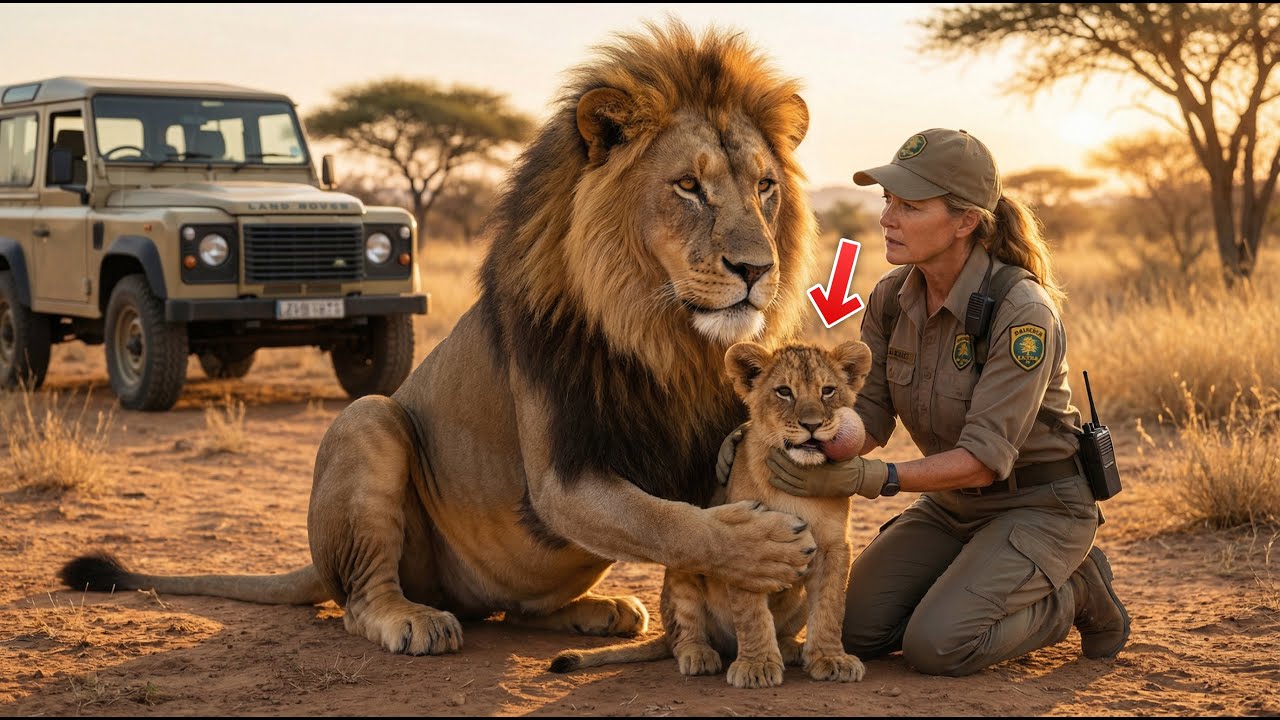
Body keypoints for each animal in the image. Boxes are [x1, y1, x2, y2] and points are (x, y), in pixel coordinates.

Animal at [60, 21, 820, 656]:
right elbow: (670, 521)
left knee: (520, 609)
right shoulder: (563, 479)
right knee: (362, 596)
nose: (757, 270)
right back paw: (412, 620)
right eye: (688, 186)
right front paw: (763, 546)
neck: (665, 335)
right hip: (368, 423)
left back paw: (598, 611)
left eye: (764, 188)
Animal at [549, 340, 872, 688]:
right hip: (683, 568)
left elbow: (829, 607)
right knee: (683, 634)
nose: (812, 425)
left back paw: (789, 648)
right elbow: (752, 613)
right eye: (784, 391)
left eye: (828, 391)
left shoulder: (833, 547)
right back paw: (699, 655)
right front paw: (757, 666)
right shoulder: (755, 546)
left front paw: (831, 659)